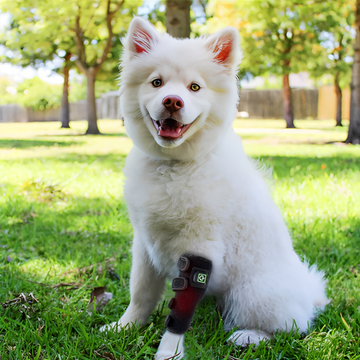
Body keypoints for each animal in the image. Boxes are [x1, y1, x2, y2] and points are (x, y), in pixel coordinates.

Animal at [100, 17, 328, 360]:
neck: (175, 166)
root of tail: (307, 294)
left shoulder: (198, 248)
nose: (172, 101)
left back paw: (249, 336)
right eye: (157, 83)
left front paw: (169, 352)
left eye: (194, 87)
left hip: (252, 294)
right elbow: (140, 292)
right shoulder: (144, 244)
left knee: (290, 328)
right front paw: (125, 327)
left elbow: (179, 312)